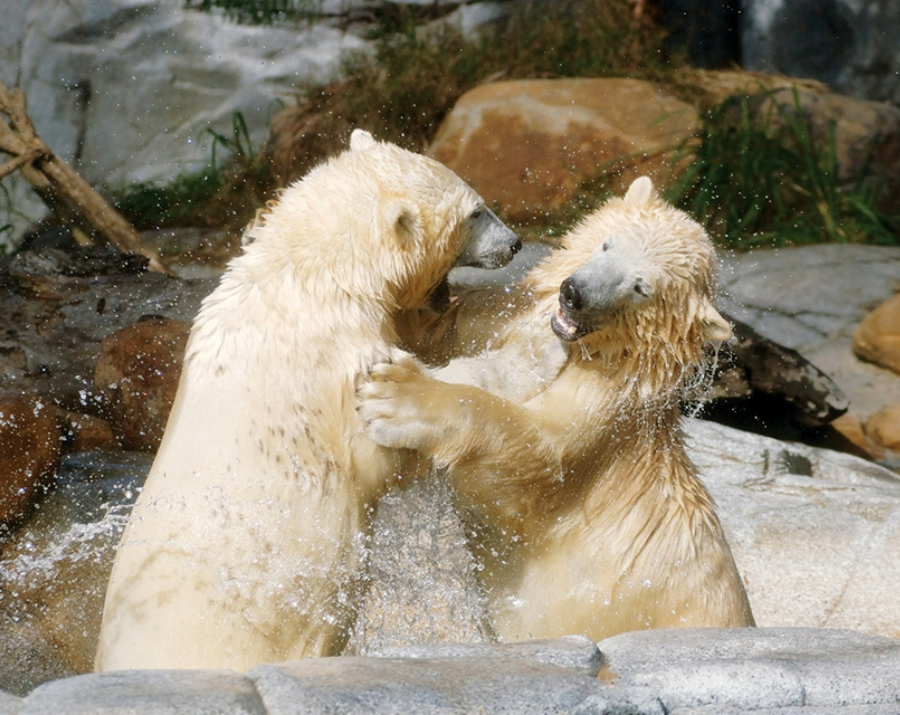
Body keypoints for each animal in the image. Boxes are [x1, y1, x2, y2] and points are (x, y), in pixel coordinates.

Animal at [357, 176, 755, 643]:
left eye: (641, 287)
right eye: (607, 243)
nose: (574, 293)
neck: (599, 352)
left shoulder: (604, 406)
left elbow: (535, 458)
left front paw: (396, 397)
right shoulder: (500, 319)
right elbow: (445, 329)